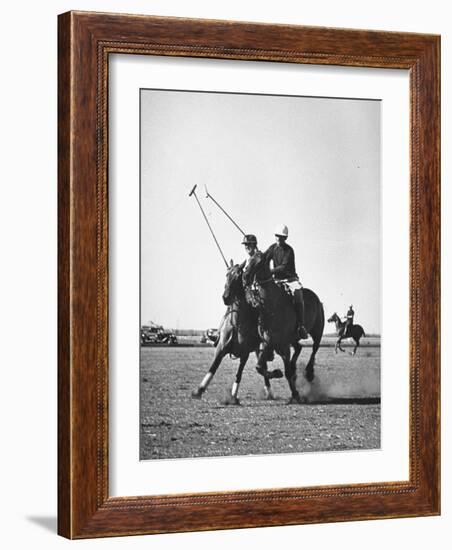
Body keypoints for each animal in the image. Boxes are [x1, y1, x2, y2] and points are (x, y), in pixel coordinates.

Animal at [191, 264, 282, 406]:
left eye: (239, 276)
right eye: (227, 275)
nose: (226, 297)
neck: (238, 324)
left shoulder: (245, 353)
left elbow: (238, 374)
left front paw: (233, 396)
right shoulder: (221, 349)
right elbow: (213, 367)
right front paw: (199, 390)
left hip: (259, 348)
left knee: (263, 367)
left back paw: (270, 391)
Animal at [242, 252, 324, 404]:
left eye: (260, 261)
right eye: (248, 260)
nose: (245, 277)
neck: (272, 306)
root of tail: (316, 298)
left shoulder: (282, 345)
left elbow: (286, 372)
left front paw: (295, 394)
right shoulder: (269, 342)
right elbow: (259, 367)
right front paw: (277, 373)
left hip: (317, 331)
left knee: (314, 348)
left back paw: (309, 372)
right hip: (293, 339)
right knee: (299, 348)